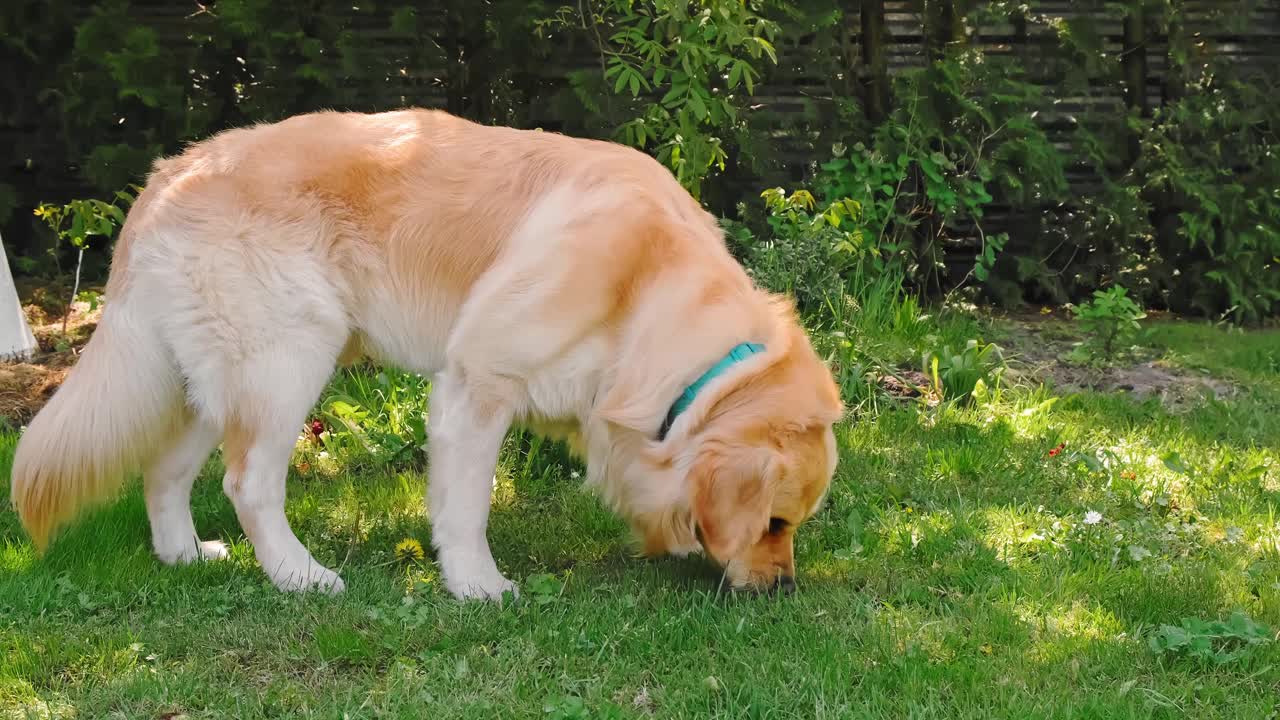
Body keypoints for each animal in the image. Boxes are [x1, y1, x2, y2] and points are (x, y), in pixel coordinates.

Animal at [15, 107, 849, 594]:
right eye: (776, 524)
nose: (784, 586)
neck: (650, 295)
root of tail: (173, 170)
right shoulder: (476, 386)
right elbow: (468, 507)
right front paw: (478, 587)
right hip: (288, 359)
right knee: (248, 482)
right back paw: (300, 576)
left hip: (206, 380)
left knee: (164, 470)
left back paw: (185, 556)